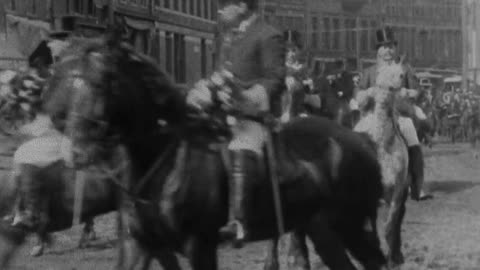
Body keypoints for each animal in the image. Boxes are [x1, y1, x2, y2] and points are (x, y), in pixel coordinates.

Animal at [47, 33, 386, 270]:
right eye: (65, 81)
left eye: (103, 81)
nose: (77, 150)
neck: (164, 159)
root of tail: (360, 140)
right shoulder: (139, 244)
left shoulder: (199, 246)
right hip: (323, 230)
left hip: (348, 226)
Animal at [354, 62, 410, 266]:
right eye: (379, 77)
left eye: (400, 73)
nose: (402, 76)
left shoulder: (398, 190)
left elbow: (390, 225)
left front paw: (390, 258)